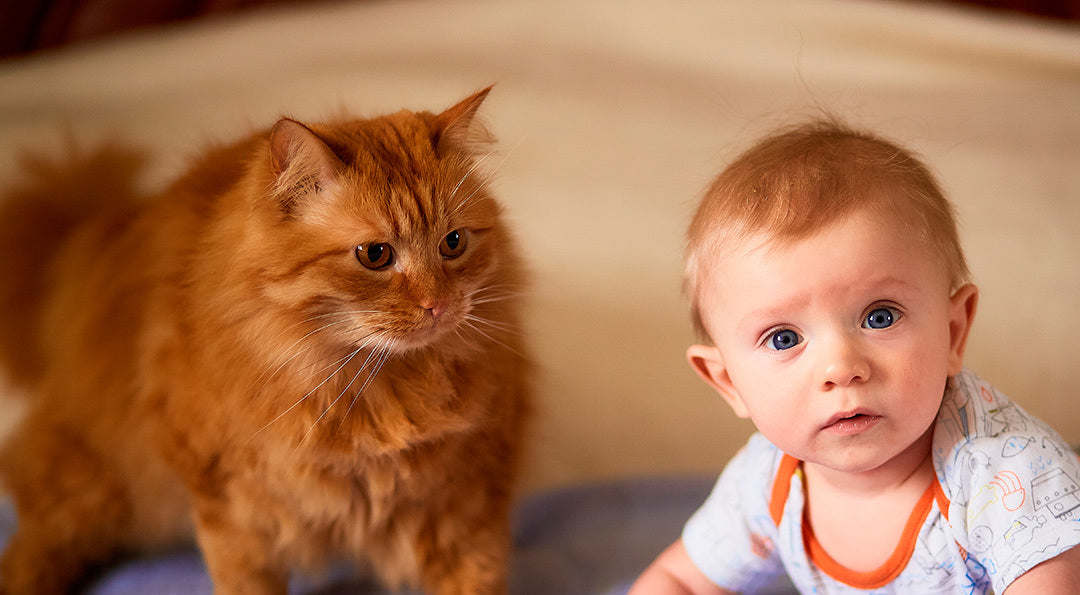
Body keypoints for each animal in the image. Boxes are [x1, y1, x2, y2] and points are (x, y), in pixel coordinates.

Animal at [0, 88, 527, 595]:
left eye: (453, 244)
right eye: (375, 255)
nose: (438, 304)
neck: (371, 392)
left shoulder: (469, 495)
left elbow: (476, 575)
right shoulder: (229, 502)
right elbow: (245, 578)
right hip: (90, 489)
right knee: (33, 547)